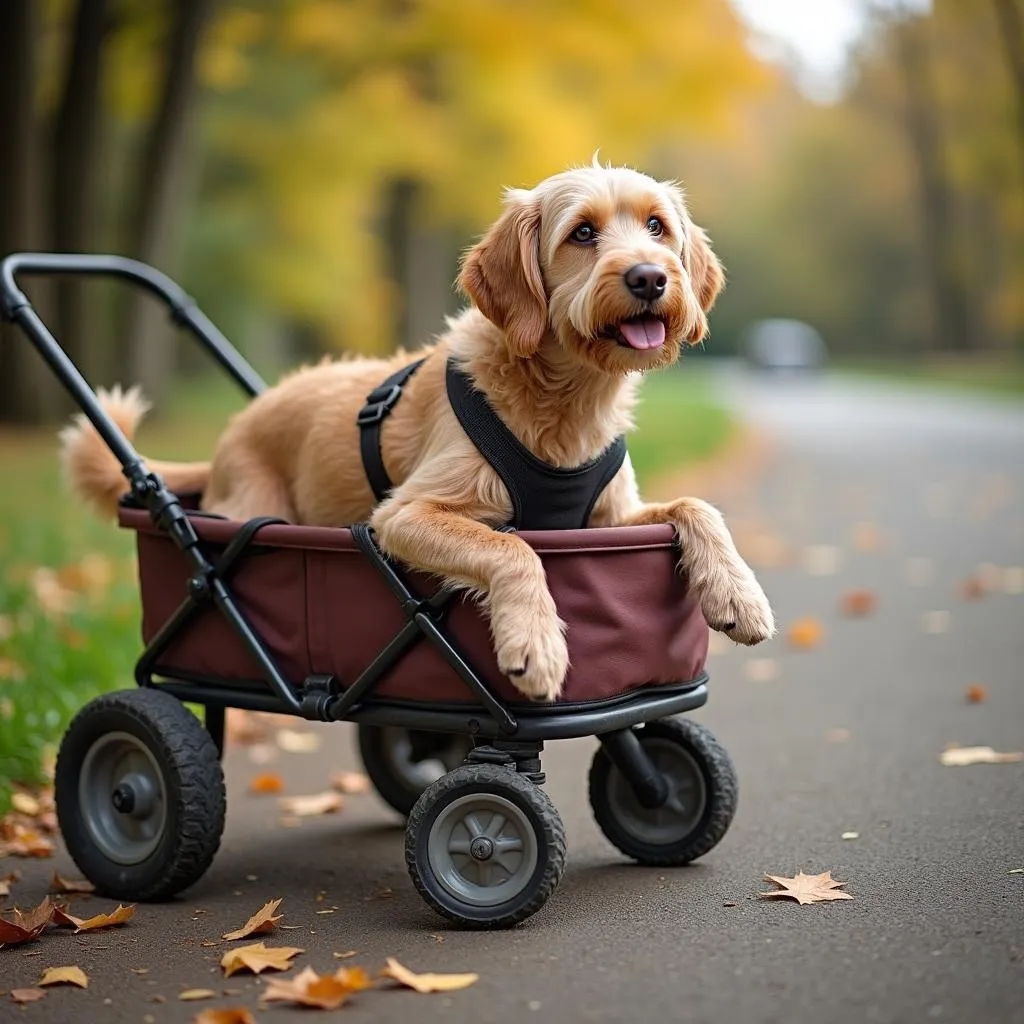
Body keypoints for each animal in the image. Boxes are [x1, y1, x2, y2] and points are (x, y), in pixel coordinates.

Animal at [59, 161, 770, 704]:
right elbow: (513, 548)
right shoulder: (403, 516)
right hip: (250, 517)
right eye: (583, 233)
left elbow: (696, 505)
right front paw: (535, 642)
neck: (562, 403)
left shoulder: (606, 520)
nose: (650, 277)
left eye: (656, 226)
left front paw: (739, 593)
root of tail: (230, 435)